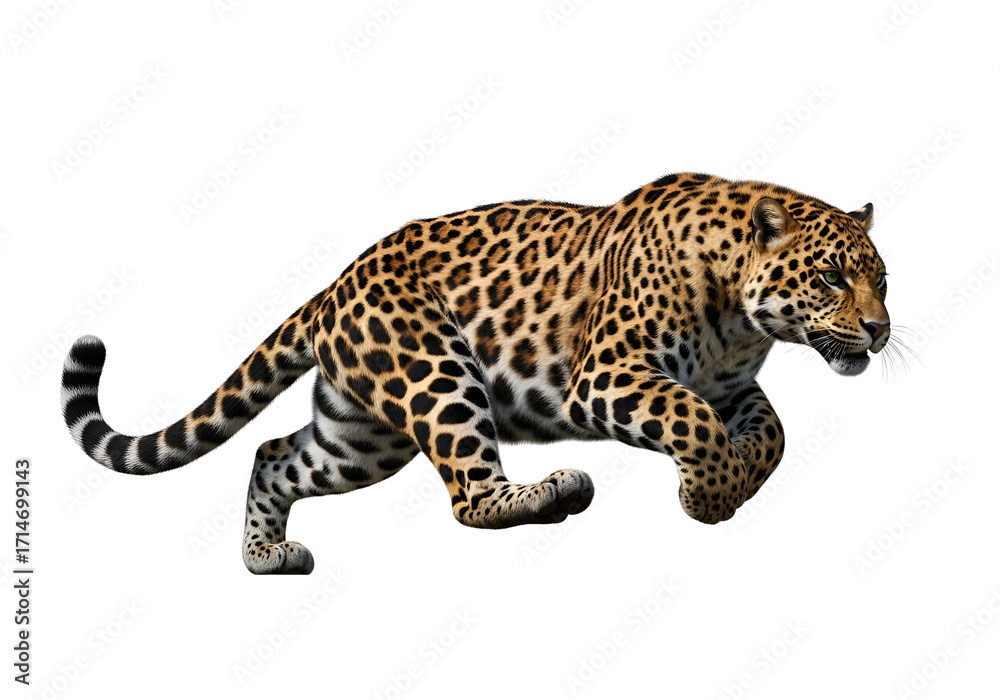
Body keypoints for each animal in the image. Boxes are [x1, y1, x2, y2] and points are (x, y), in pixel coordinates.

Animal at [61, 172, 891, 574]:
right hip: (437, 374)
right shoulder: (610, 373)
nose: (881, 330)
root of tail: (335, 285)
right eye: (831, 278)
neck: (742, 319)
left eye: (882, 280)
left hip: (360, 437)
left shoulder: (732, 385)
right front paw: (709, 495)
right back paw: (553, 491)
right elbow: (692, 422)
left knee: (273, 455)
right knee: (468, 496)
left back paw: (266, 558)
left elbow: (771, 433)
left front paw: (738, 475)